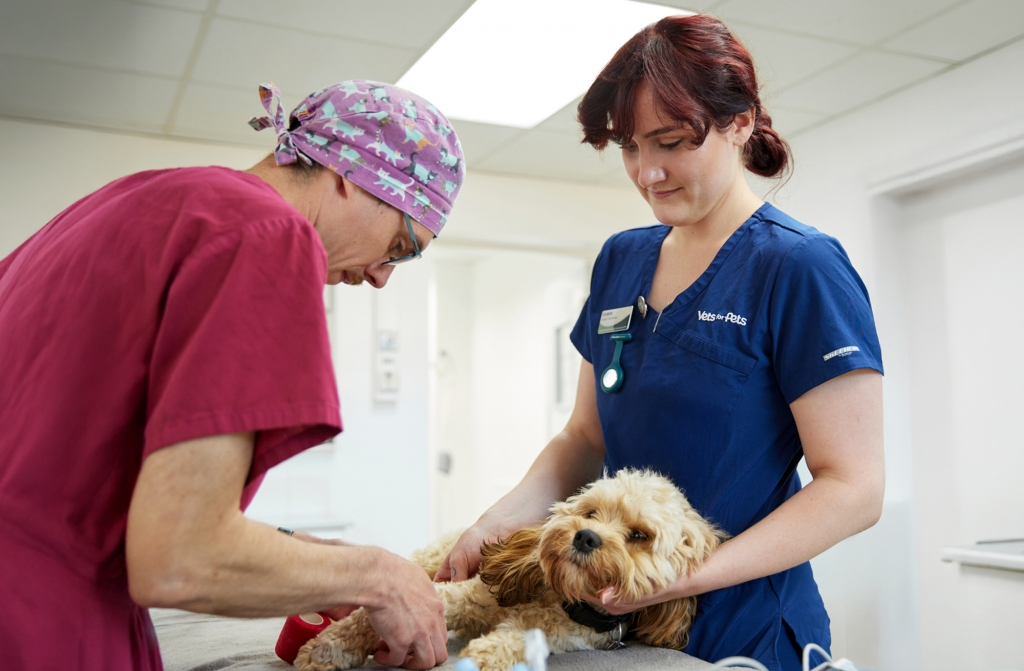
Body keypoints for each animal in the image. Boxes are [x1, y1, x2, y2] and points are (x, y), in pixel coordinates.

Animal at [295, 469, 725, 671]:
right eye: (591, 513)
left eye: (639, 535)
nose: (585, 537)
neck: (559, 601)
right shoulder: (462, 593)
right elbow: (383, 612)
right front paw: (328, 647)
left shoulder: (550, 635)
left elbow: (508, 643)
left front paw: (481, 658)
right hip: (434, 561)